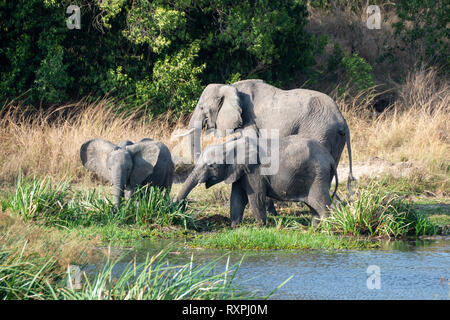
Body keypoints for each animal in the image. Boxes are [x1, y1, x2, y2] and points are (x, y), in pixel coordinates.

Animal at [176, 134, 338, 228]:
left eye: (211, 166)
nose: (180, 209)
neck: (230, 145)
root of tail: (330, 159)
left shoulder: (255, 172)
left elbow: (255, 197)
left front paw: (260, 227)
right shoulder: (240, 171)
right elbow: (237, 198)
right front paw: (234, 227)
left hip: (317, 175)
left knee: (321, 203)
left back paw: (327, 229)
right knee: (314, 206)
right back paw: (315, 229)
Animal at [184, 79, 356, 191]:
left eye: (201, 107)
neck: (229, 87)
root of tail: (342, 120)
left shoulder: (249, 118)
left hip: (320, 130)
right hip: (334, 137)